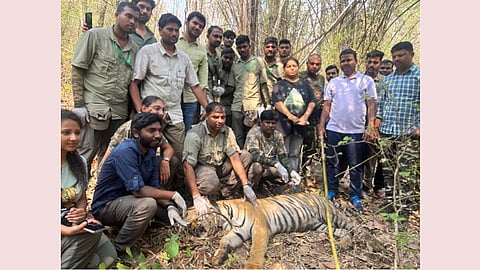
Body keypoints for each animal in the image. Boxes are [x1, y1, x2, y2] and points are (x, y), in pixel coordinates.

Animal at [184, 192, 382, 268]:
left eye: (191, 212)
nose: (184, 217)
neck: (226, 219)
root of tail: (322, 195)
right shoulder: (237, 233)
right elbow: (223, 241)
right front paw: (217, 257)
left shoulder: (260, 229)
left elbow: (256, 250)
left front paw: (251, 266)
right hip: (321, 225)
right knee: (343, 232)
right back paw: (343, 244)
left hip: (334, 216)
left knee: (357, 228)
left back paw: (375, 245)